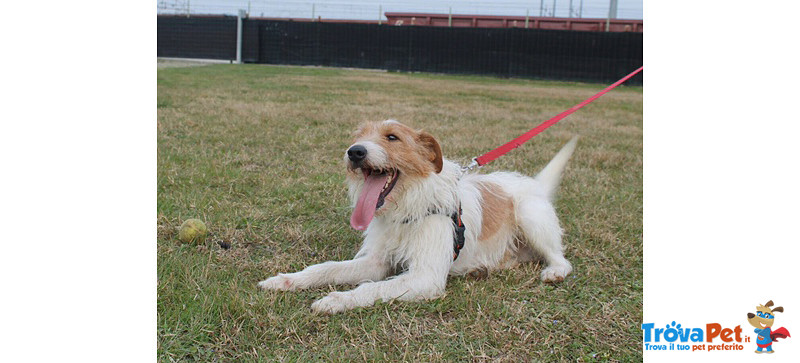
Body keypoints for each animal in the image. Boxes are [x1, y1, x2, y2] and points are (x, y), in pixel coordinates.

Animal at [260, 121, 580, 314]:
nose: (354, 152)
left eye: (392, 137)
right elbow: (327, 269)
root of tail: (535, 184)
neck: (406, 207)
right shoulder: (377, 261)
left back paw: (554, 271)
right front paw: (285, 281)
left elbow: (373, 288)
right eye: (358, 137)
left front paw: (336, 300)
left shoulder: (425, 277)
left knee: (561, 259)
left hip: (530, 215)